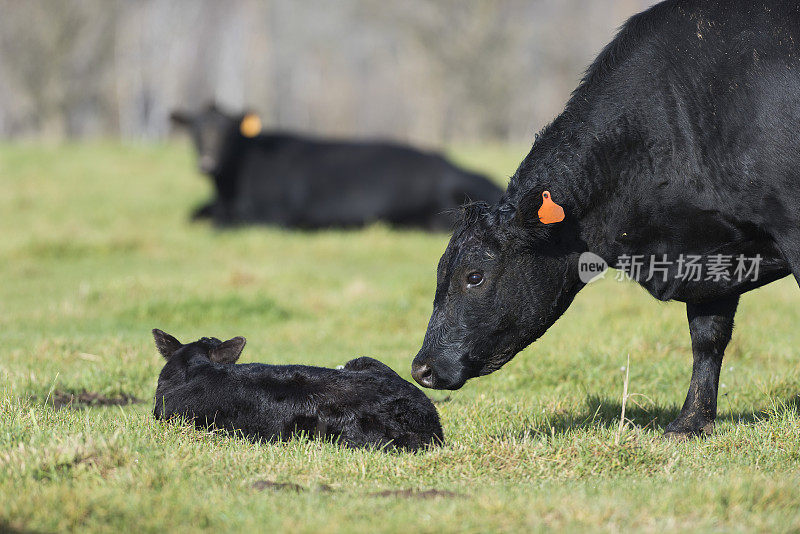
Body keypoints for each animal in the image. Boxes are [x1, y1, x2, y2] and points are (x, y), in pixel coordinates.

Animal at [172, 104, 504, 230]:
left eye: (229, 132)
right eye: (196, 131)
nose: (207, 163)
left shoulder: (277, 215)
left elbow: (224, 223)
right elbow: (195, 213)